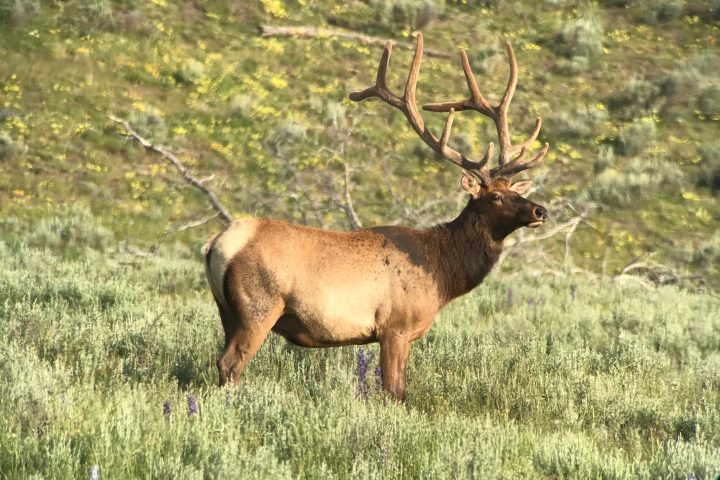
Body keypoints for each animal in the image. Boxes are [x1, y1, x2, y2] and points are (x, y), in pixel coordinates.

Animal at [203, 33, 549, 401]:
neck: (441, 273)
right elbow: (395, 390)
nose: (541, 210)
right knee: (230, 363)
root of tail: (215, 245)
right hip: (258, 307)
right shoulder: (394, 325)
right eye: (495, 196)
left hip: (226, 311)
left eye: (515, 190)